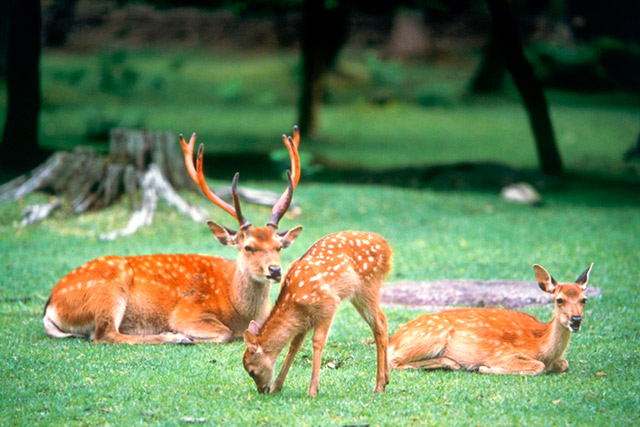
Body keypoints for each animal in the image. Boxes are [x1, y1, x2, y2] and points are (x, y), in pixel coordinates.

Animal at [42, 127, 302, 344]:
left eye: (279, 246)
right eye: (248, 247)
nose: (275, 270)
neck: (238, 309)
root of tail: (50, 305)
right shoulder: (187, 311)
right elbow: (224, 333)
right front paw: (186, 335)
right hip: (107, 291)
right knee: (105, 334)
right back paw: (174, 337)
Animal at [242, 232, 392, 396]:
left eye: (252, 371)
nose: (262, 390)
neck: (294, 302)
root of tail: (387, 248)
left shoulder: (327, 305)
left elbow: (317, 342)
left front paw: (313, 390)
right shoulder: (304, 320)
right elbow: (294, 345)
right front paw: (277, 386)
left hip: (368, 285)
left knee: (379, 325)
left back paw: (378, 385)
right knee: (383, 321)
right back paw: (386, 380)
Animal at [390, 264, 596, 374]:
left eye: (584, 300)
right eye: (559, 300)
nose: (575, 320)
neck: (542, 345)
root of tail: (393, 339)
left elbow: (564, 364)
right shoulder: (501, 353)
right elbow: (538, 366)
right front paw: (483, 368)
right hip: (431, 335)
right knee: (393, 362)